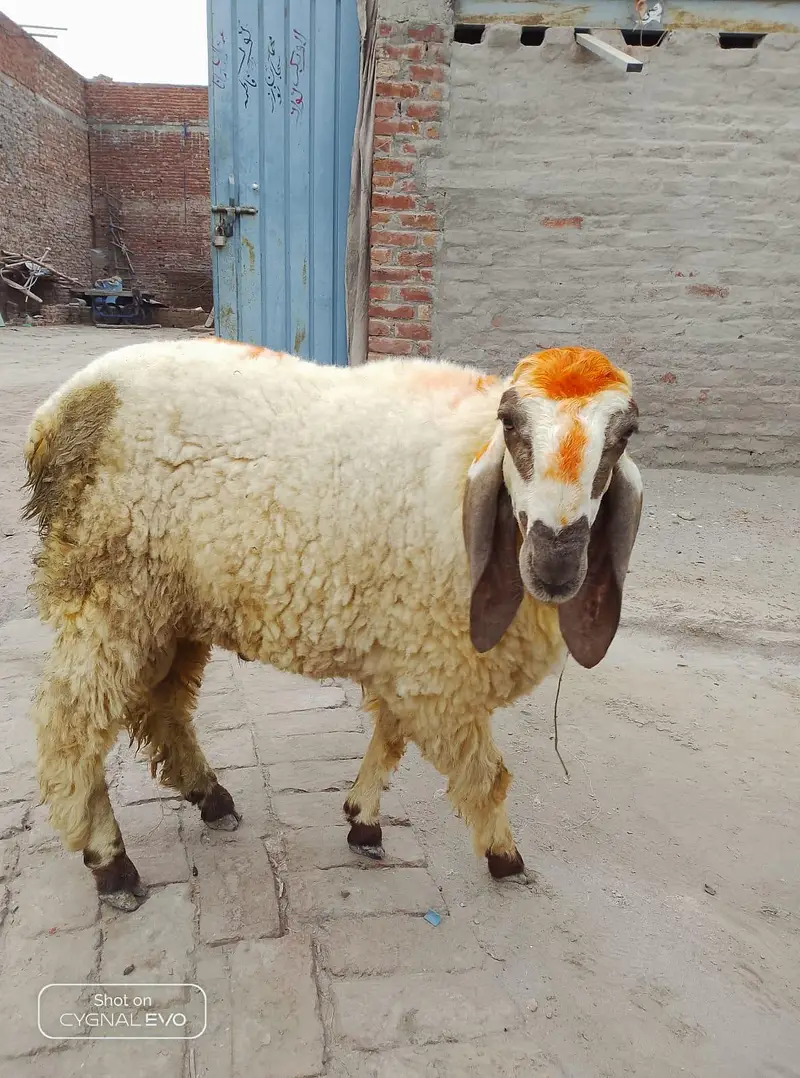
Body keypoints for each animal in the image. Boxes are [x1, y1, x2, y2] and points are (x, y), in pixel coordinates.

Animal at [24, 340, 642, 910]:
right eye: (511, 425)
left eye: (624, 435)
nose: (555, 561)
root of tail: (61, 412)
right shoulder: (439, 671)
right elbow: (485, 775)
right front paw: (505, 857)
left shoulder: (410, 651)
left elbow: (390, 736)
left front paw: (361, 819)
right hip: (110, 595)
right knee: (71, 723)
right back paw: (110, 862)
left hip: (170, 608)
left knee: (162, 707)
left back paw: (210, 797)